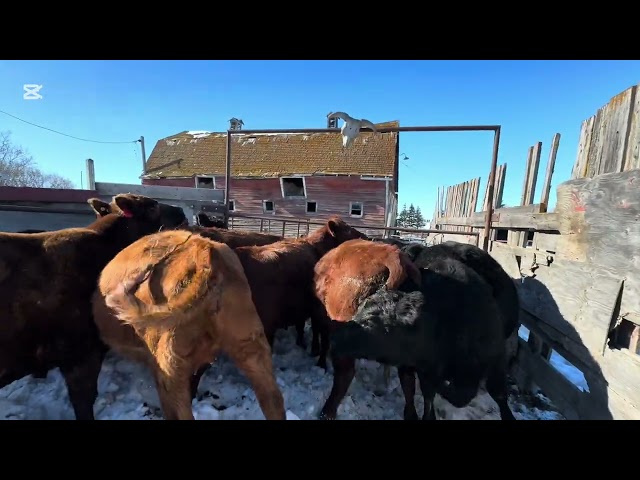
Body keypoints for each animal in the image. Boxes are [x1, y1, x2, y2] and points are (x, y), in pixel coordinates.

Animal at [308, 240, 420, 420]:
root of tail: (393, 257)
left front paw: (320, 363)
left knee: (345, 373)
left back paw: (327, 411)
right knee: (408, 379)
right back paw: (411, 415)